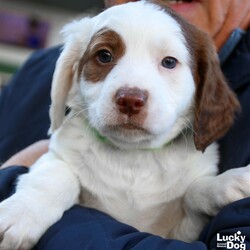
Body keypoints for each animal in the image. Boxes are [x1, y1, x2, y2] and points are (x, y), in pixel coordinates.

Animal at [0, 1, 248, 248]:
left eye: (169, 62)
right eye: (104, 56)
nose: (130, 99)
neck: (134, 157)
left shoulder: (184, 232)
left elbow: (194, 191)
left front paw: (233, 182)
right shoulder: (56, 155)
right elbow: (56, 175)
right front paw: (20, 213)